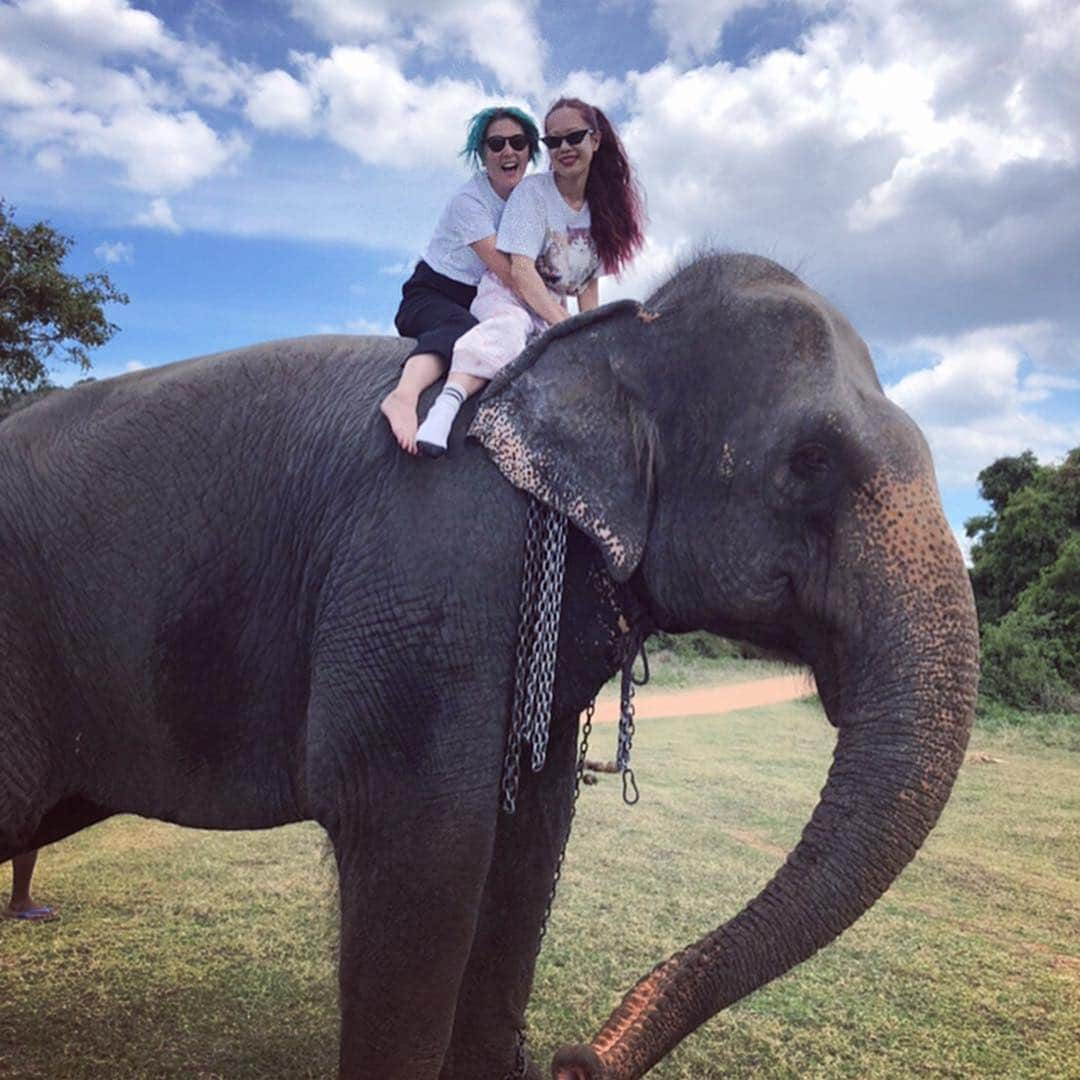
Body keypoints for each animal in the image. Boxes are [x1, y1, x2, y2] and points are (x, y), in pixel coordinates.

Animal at [0, 254, 980, 1080]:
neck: (611, 341)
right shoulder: (430, 566)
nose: (573, 1060)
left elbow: (530, 834)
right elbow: (429, 842)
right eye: (811, 461)